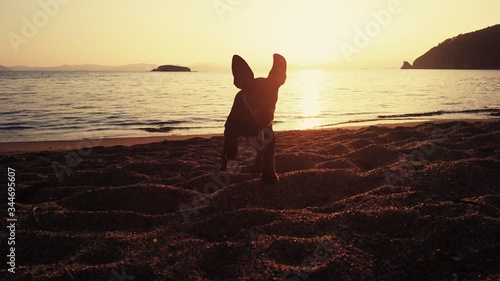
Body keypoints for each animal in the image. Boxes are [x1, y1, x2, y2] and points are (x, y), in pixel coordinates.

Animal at [222, 53, 288, 184]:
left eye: (273, 95)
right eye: (252, 96)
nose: (265, 117)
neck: (251, 120)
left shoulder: (268, 134)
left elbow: (269, 153)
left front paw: (269, 175)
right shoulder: (229, 125)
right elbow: (230, 135)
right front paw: (231, 150)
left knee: (259, 154)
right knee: (223, 155)